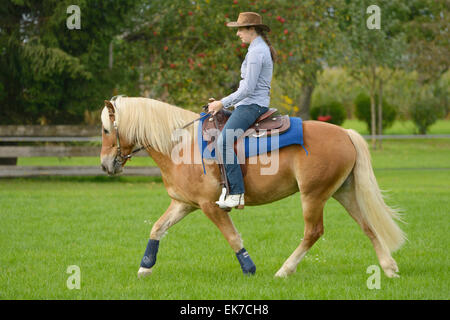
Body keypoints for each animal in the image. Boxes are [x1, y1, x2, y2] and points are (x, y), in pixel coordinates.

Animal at [100, 96, 406, 278]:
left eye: (105, 129)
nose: (105, 165)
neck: (181, 146)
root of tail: (345, 133)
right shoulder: (183, 204)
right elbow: (157, 228)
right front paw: (145, 267)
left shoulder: (210, 206)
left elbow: (233, 237)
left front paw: (249, 268)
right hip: (343, 192)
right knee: (367, 225)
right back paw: (389, 268)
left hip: (313, 196)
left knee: (313, 232)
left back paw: (284, 270)